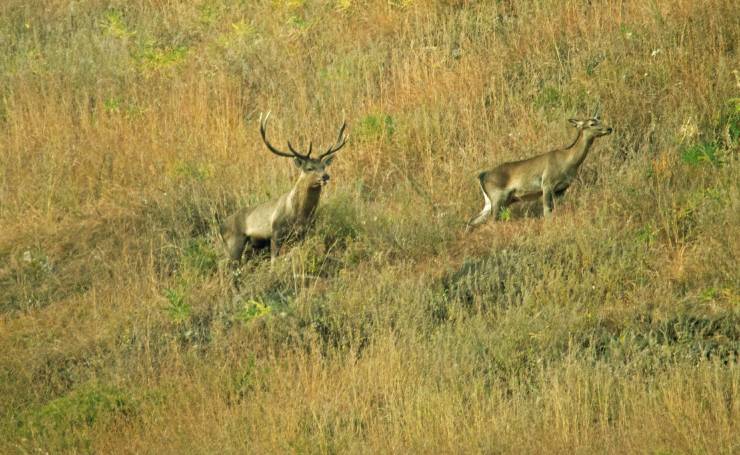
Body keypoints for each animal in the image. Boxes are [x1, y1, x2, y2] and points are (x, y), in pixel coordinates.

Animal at [218, 112, 348, 266]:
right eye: (309, 168)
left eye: (323, 166)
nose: (325, 176)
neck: (299, 214)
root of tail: (220, 227)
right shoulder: (276, 231)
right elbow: (274, 261)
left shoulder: (303, 233)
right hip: (233, 243)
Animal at [468, 109, 612, 232]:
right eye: (592, 123)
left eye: (599, 119)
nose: (609, 128)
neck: (569, 161)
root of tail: (481, 176)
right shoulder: (547, 183)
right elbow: (547, 212)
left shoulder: (561, 189)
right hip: (498, 197)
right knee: (491, 220)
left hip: (491, 201)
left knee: (473, 220)